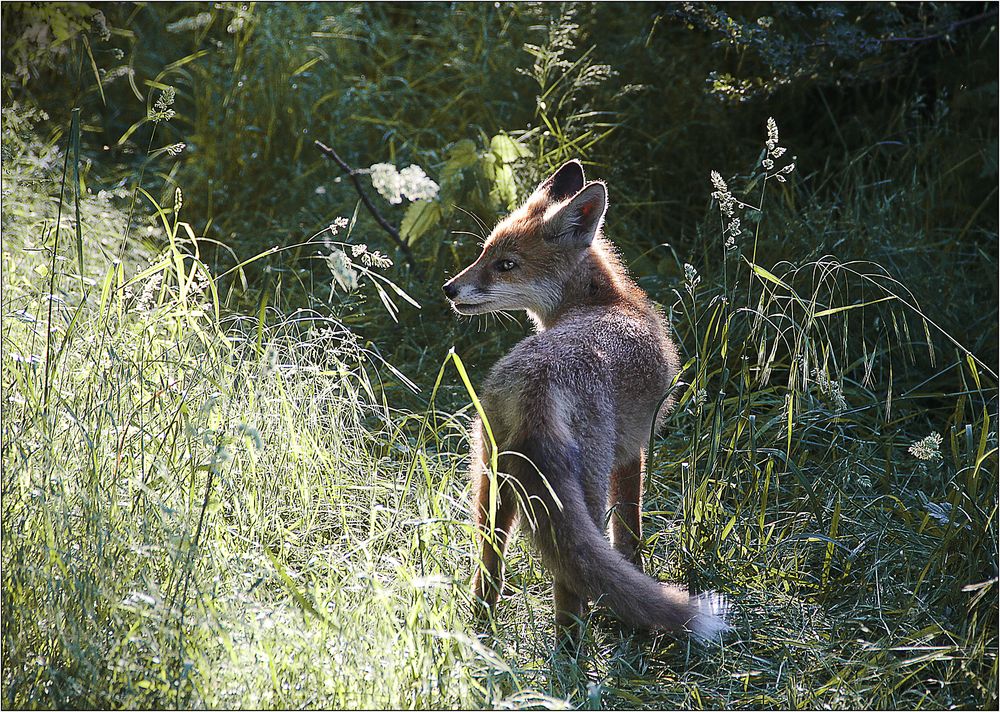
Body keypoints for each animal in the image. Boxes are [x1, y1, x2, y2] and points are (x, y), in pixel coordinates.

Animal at [444, 160, 728, 644]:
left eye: (503, 264)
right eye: (485, 255)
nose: (449, 289)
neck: (609, 301)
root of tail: (537, 388)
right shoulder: (634, 447)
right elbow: (629, 531)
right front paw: (635, 572)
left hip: (490, 482)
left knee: (490, 564)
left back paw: (481, 627)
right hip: (586, 489)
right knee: (569, 579)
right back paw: (574, 646)